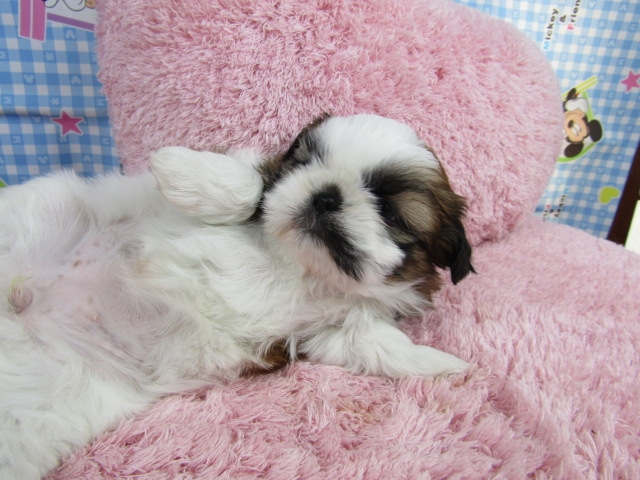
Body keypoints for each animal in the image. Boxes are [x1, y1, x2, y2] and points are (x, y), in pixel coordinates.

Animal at [0, 114, 473, 479]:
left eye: (389, 212)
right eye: (305, 162)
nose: (326, 195)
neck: (300, 265)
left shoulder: (334, 328)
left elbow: (376, 345)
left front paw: (441, 364)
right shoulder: (262, 179)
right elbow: (252, 186)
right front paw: (176, 167)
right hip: (39, 208)